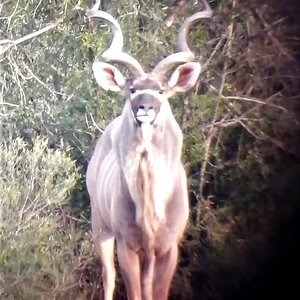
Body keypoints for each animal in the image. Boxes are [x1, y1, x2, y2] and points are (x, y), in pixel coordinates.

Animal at [86, 1, 213, 298]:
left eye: (162, 91)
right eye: (132, 89)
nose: (145, 107)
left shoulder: (168, 248)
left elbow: (158, 292)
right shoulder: (128, 245)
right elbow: (132, 290)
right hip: (101, 227)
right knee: (108, 276)